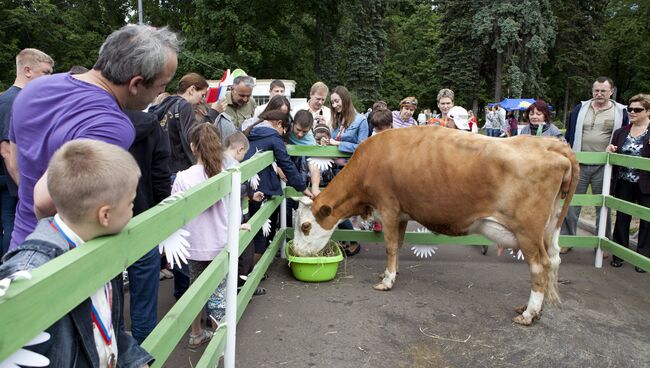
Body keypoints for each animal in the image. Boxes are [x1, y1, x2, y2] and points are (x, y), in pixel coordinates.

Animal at [294, 126, 576, 324]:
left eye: (306, 226)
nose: (296, 252)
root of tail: (550, 145)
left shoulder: (388, 208)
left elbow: (390, 246)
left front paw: (386, 281)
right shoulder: (403, 213)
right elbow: (399, 244)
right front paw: (390, 273)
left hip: (527, 232)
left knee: (540, 267)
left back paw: (528, 314)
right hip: (548, 229)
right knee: (554, 261)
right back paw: (535, 310)